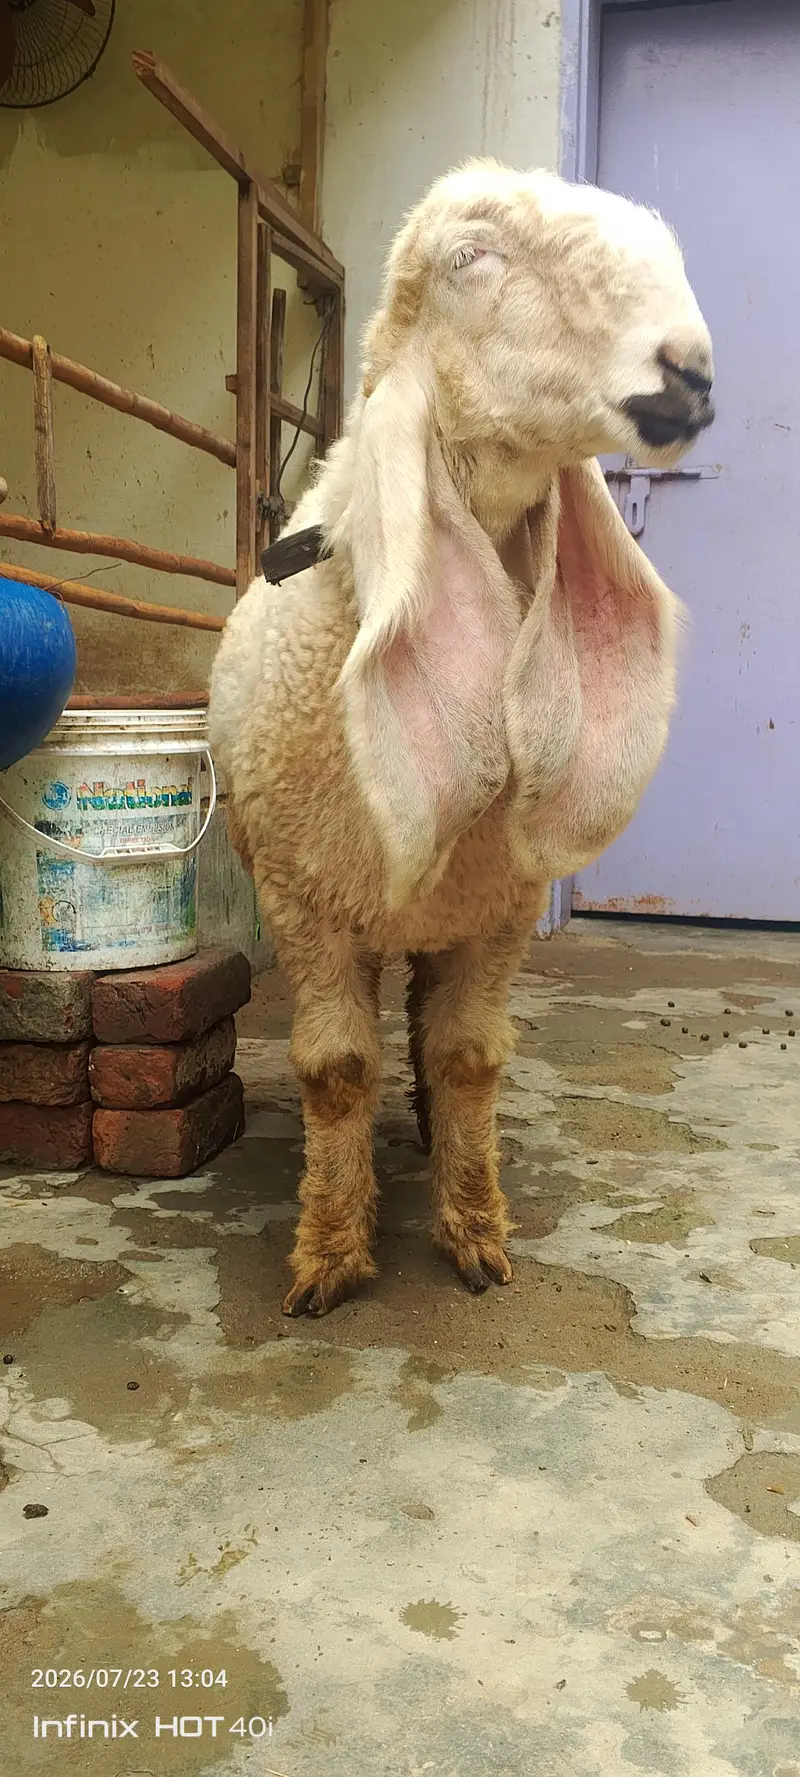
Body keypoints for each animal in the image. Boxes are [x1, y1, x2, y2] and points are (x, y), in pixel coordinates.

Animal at [209, 159, 714, 1317]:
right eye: (469, 257)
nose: (690, 371)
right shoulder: (304, 904)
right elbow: (336, 1069)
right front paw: (329, 1252)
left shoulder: (499, 909)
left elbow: (471, 1056)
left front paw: (476, 1229)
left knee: (429, 1030)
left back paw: (440, 1138)